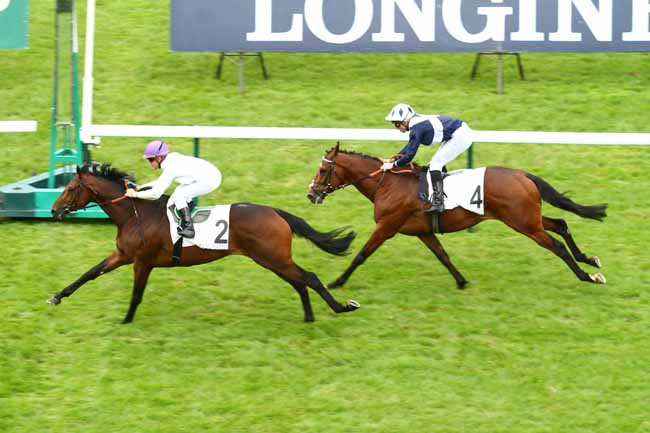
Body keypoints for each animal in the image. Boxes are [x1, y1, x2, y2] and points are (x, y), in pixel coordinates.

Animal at [48, 163, 360, 323]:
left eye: (71, 188)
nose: (53, 210)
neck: (135, 215)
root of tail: (276, 212)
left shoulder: (143, 262)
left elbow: (136, 294)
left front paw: (126, 320)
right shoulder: (122, 255)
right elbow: (89, 273)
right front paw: (56, 296)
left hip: (273, 257)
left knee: (309, 277)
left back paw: (341, 307)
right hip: (273, 260)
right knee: (299, 282)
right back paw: (309, 316)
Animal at [306, 143, 607, 289]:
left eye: (322, 171)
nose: (311, 194)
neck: (387, 184)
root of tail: (523, 175)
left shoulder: (386, 225)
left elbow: (361, 254)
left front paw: (337, 281)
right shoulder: (423, 231)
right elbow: (443, 255)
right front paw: (461, 281)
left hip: (524, 223)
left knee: (555, 245)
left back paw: (586, 276)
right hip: (529, 218)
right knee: (561, 224)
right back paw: (589, 259)